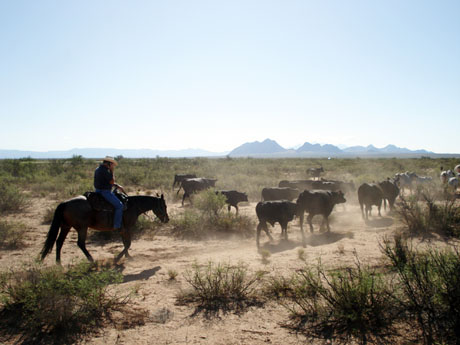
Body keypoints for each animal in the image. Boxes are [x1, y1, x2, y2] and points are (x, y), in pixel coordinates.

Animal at [41, 194, 169, 264]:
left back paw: (59, 263)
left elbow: (125, 243)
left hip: (66, 226)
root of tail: (65, 203)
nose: (167, 219)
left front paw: (128, 257)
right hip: (82, 228)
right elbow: (128, 243)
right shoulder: (127, 228)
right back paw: (91, 260)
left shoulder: (123, 229)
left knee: (59, 242)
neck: (132, 206)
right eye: (164, 206)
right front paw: (117, 258)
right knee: (80, 243)